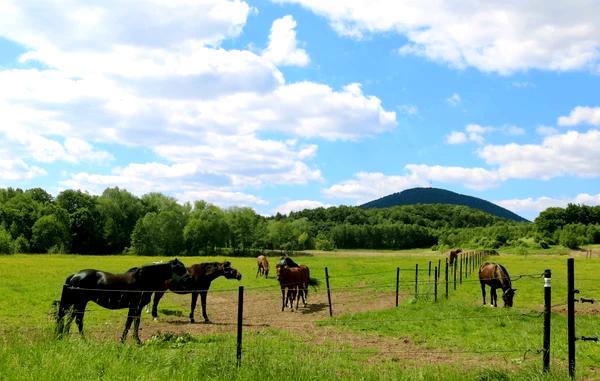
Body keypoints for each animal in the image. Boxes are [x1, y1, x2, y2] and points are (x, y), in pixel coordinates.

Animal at [56, 258, 189, 342]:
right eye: (180, 268)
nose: (188, 278)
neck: (142, 279)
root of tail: (75, 275)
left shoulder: (136, 308)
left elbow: (133, 323)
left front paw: (130, 340)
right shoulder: (135, 307)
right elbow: (131, 323)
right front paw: (130, 340)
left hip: (78, 303)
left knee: (71, 319)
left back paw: (66, 336)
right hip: (81, 303)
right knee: (78, 320)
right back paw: (84, 339)